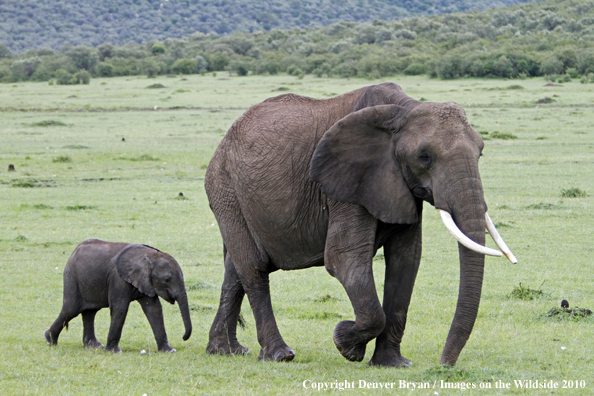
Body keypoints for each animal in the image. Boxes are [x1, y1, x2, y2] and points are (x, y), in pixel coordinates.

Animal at [44, 238, 192, 352]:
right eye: (167, 279)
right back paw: (49, 340)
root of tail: (74, 251)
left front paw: (169, 350)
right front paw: (114, 352)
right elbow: (120, 308)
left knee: (89, 312)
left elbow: (153, 309)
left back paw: (93, 346)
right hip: (72, 276)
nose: (183, 337)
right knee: (71, 309)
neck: (150, 256)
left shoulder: (146, 282)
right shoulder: (118, 278)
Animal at [205, 82, 512, 366]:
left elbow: (405, 261)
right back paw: (279, 355)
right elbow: (345, 259)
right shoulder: (347, 182)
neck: (405, 108)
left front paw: (391, 364)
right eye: (424, 157)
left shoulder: (398, 184)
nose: (444, 363)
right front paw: (346, 344)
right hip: (226, 189)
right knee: (254, 267)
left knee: (235, 269)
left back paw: (227, 351)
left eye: (480, 152)